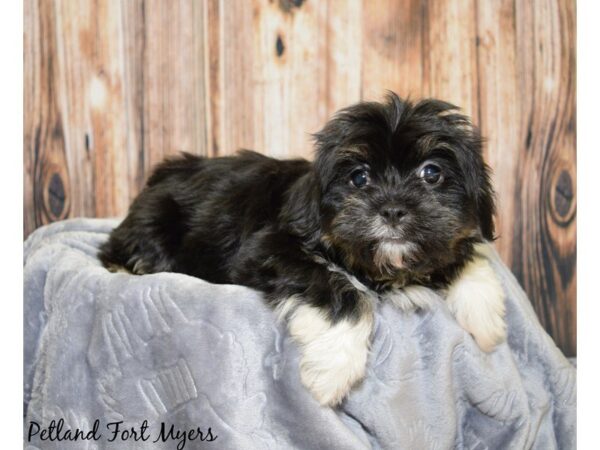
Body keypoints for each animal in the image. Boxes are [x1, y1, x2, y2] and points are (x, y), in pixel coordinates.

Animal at [99, 93, 506, 406]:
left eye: (431, 173)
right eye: (359, 177)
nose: (392, 209)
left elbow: (465, 256)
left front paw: (486, 319)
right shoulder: (267, 248)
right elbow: (337, 288)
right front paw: (333, 370)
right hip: (155, 219)